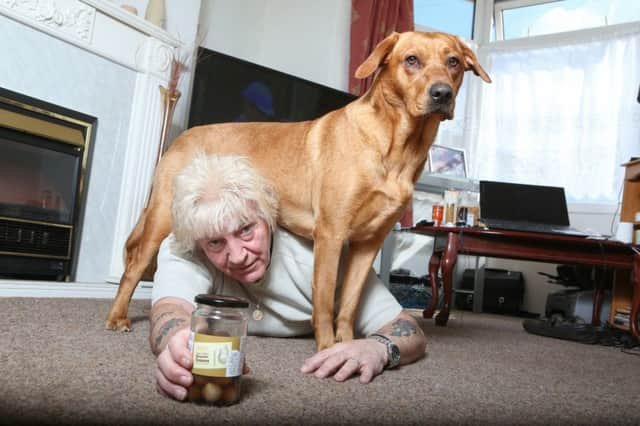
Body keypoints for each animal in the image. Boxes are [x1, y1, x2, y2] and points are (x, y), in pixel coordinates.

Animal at [107, 30, 492, 350]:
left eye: (453, 62)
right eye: (411, 60)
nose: (442, 93)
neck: (397, 146)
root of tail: (183, 135)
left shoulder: (368, 244)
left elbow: (348, 306)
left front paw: (347, 345)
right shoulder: (331, 235)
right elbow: (323, 303)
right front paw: (326, 347)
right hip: (162, 217)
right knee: (133, 268)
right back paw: (117, 317)